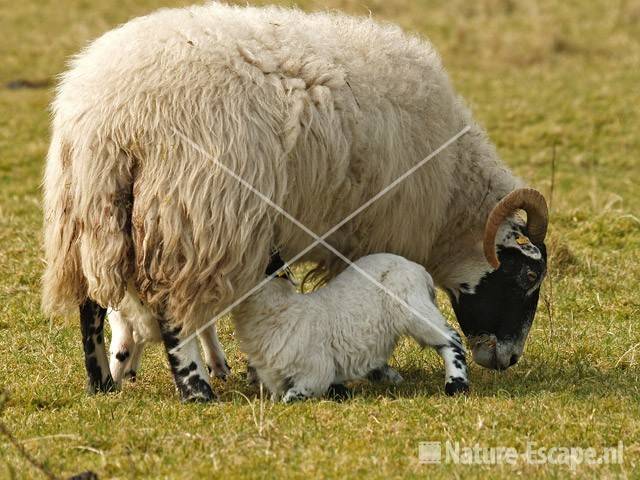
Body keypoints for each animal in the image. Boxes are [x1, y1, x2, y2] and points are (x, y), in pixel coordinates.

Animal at [232, 253, 468, 404]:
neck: (279, 311)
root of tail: (419, 269)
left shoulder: (315, 372)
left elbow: (295, 396)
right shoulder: (276, 380)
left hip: (413, 309)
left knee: (451, 339)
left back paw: (456, 385)